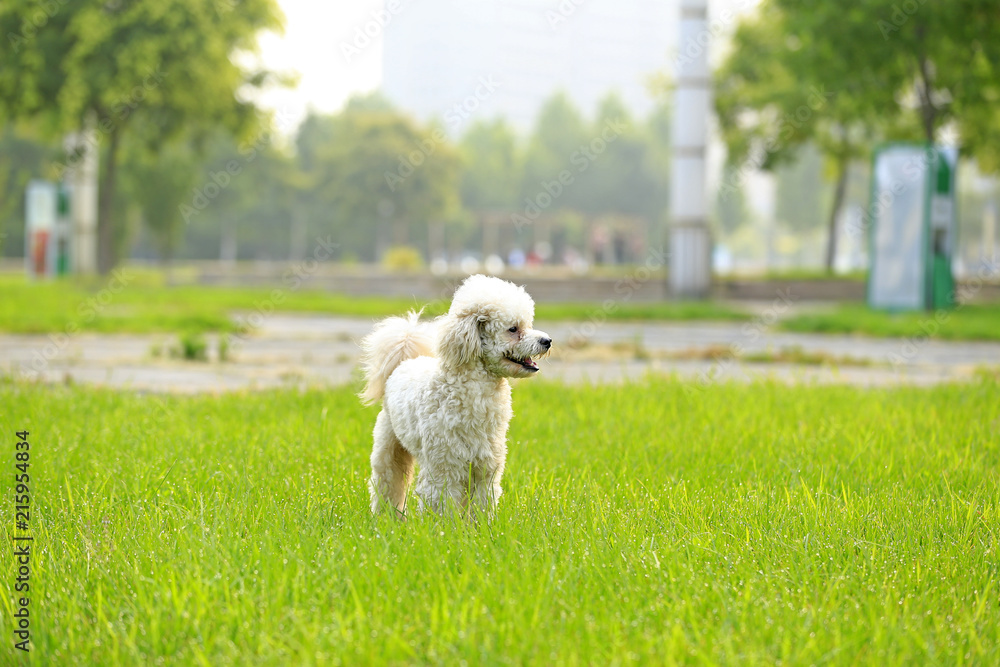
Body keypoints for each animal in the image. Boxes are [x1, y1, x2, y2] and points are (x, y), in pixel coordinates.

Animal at [358, 274, 552, 520]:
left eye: (528, 324)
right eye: (513, 329)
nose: (548, 341)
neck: (475, 393)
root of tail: (404, 361)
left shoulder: (486, 465)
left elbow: (483, 502)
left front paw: (480, 526)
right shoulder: (444, 466)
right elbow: (443, 503)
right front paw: (445, 528)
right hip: (389, 445)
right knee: (388, 480)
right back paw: (385, 517)